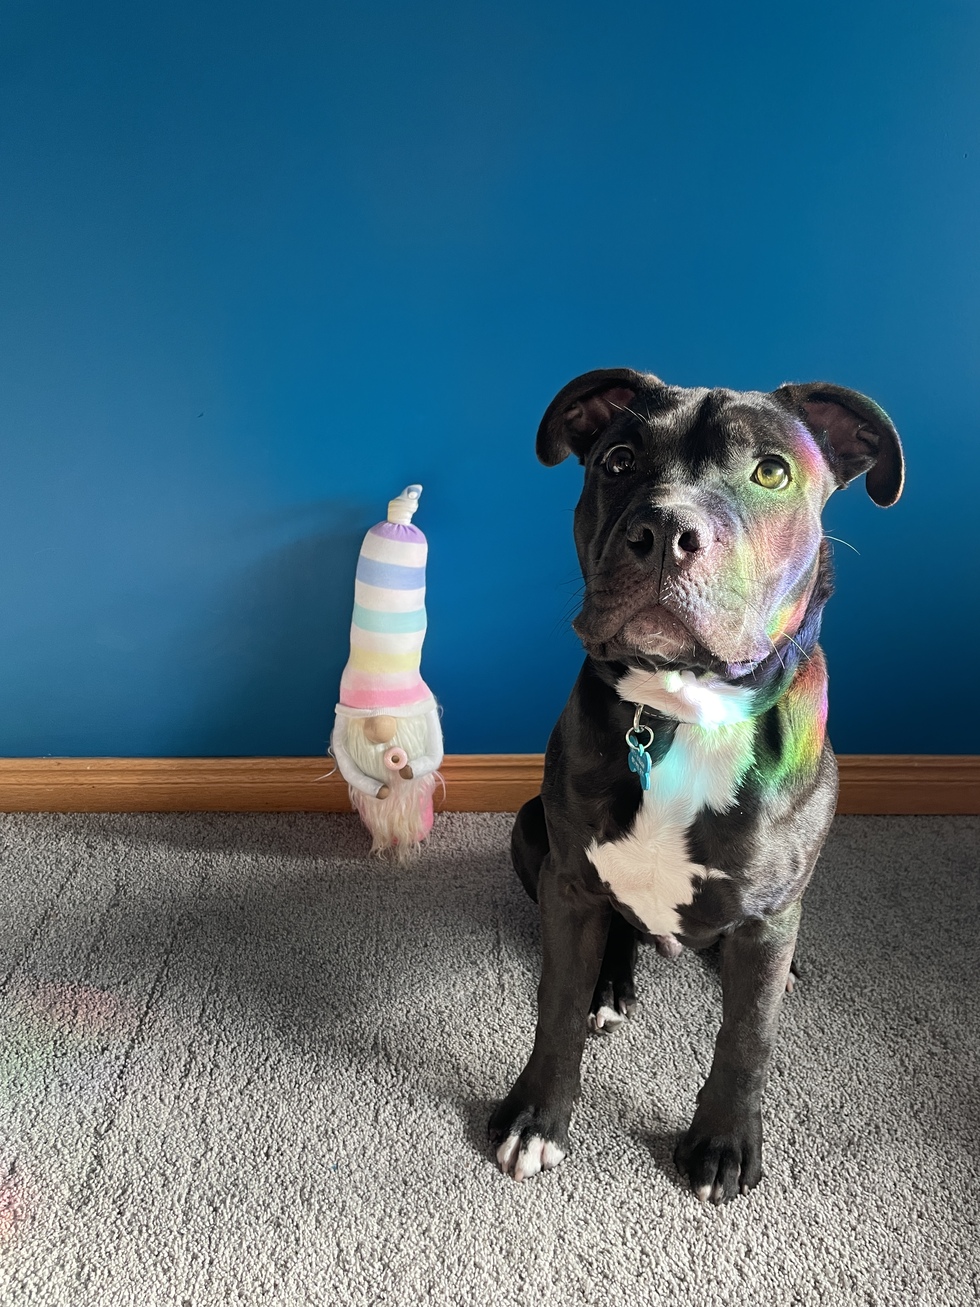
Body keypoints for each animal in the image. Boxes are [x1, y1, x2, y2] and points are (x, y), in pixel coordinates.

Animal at [488, 368, 904, 1203]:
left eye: (770, 472)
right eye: (617, 461)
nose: (664, 532)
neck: (683, 708)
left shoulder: (769, 910)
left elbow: (747, 1036)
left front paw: (722, 1142)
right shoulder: (571, 882)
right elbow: (555, 1005)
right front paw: (538, 1117)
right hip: (530, 830)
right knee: (617, 937)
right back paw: (610, 987)